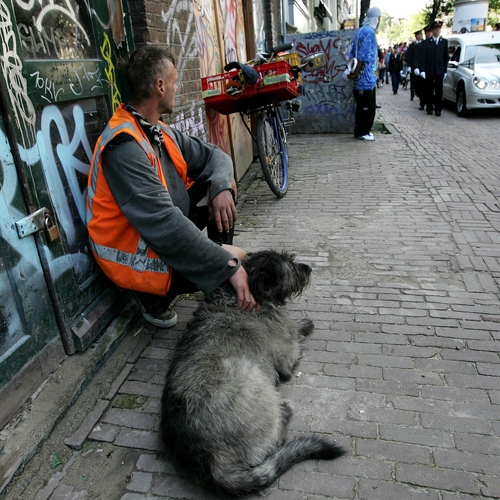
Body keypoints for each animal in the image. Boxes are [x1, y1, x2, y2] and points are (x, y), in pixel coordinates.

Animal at [159, 250, 344, 496]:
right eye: (290, 266)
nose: (308, 268)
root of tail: (213, 463)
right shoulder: (287, 353)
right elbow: (295, 336)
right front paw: (304, 324)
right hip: (254, 379)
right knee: (277, 438)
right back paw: (284, 412)